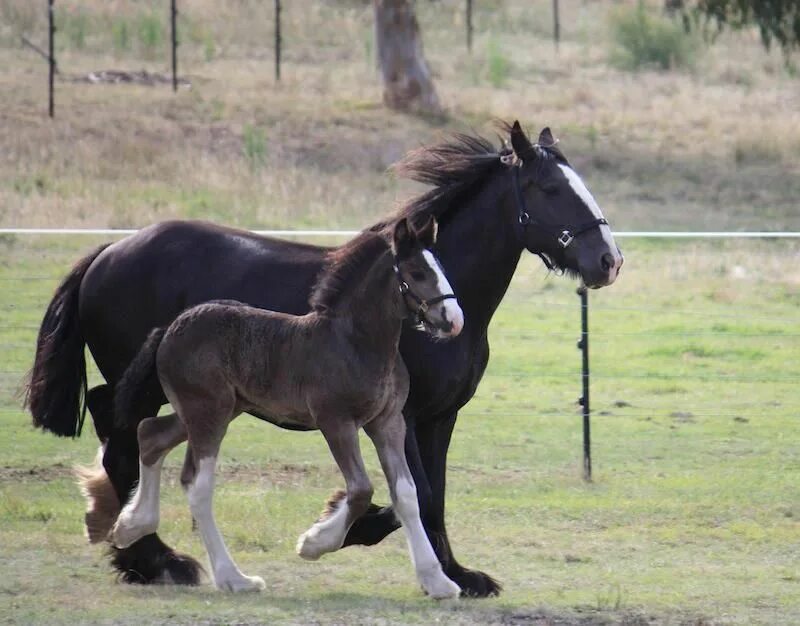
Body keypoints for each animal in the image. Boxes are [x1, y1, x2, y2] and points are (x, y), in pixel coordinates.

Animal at [25, 122, 620, 596]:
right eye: (550, 188)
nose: (608, 261)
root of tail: (107, 251)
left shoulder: (438, 416)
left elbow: (432, 494)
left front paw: (455, 574)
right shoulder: (401, 416)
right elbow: (414, 492)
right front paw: (333, 530)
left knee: (126, 431)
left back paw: (125, 536)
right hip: (154, 383)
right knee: (120, 436)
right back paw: (152, 559)